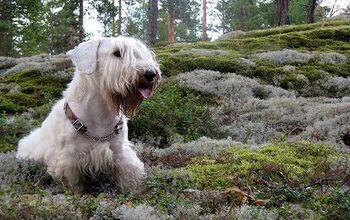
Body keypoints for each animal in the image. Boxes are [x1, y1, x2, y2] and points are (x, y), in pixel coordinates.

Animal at [17, 37, 161, 192]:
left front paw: (131, 191)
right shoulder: (68, 160)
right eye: (117, 52)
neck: (101, 114)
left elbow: (127, 175)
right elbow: (74, 184)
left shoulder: (120, 152)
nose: (150, 74)